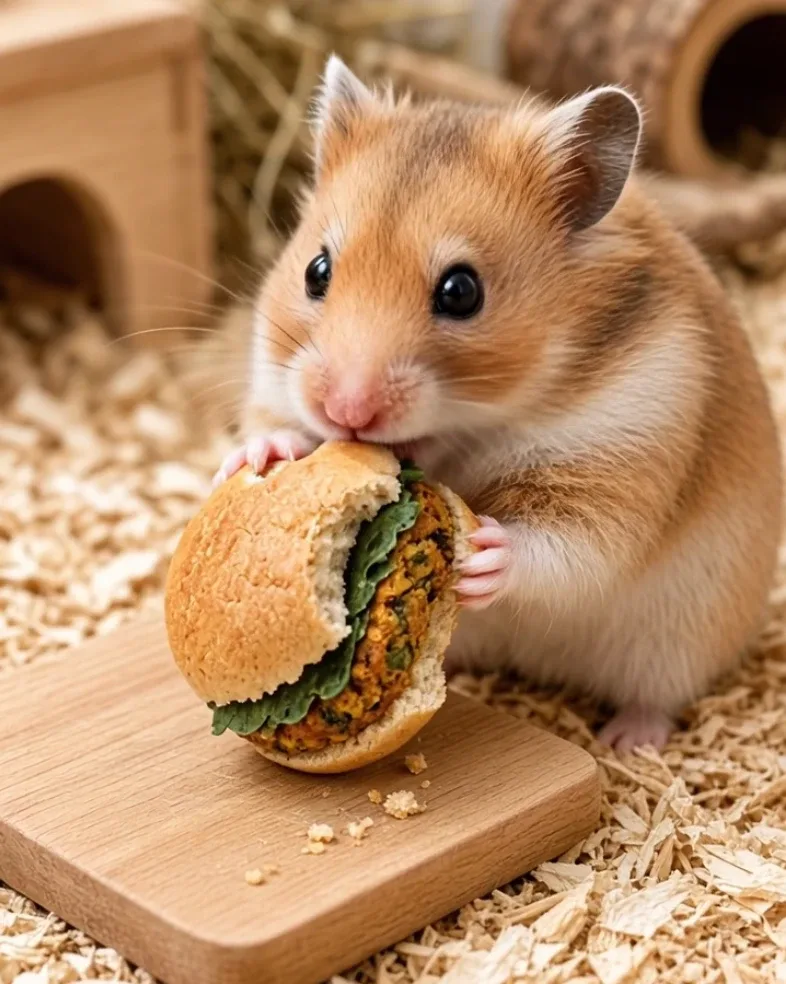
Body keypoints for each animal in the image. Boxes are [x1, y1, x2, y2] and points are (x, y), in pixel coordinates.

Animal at [214, 55, 783, 752]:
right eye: (315, 271)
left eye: (462, 291)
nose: (346, 413)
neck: (471, 428)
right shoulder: (277, 376)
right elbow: (272, 422)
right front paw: (261, 456)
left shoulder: (620, 458)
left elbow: (567, 547)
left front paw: (482, 555)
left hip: (680, 644)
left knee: (656, 696)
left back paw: (626, 741)